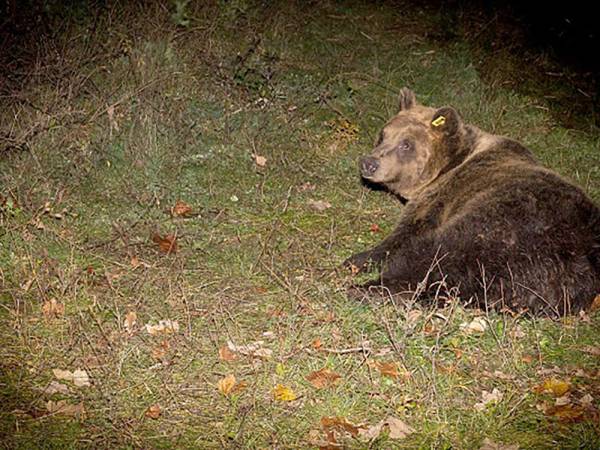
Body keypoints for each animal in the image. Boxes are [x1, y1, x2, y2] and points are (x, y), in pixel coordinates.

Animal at [344, 88, 600, 318]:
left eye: (406, 144)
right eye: (383, 135)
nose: (369, 163)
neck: (449, 164)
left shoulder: (441, 197)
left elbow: (405, 234)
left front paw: (357, 260)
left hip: (509, 228)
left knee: (435, 256)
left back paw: (368, 288)